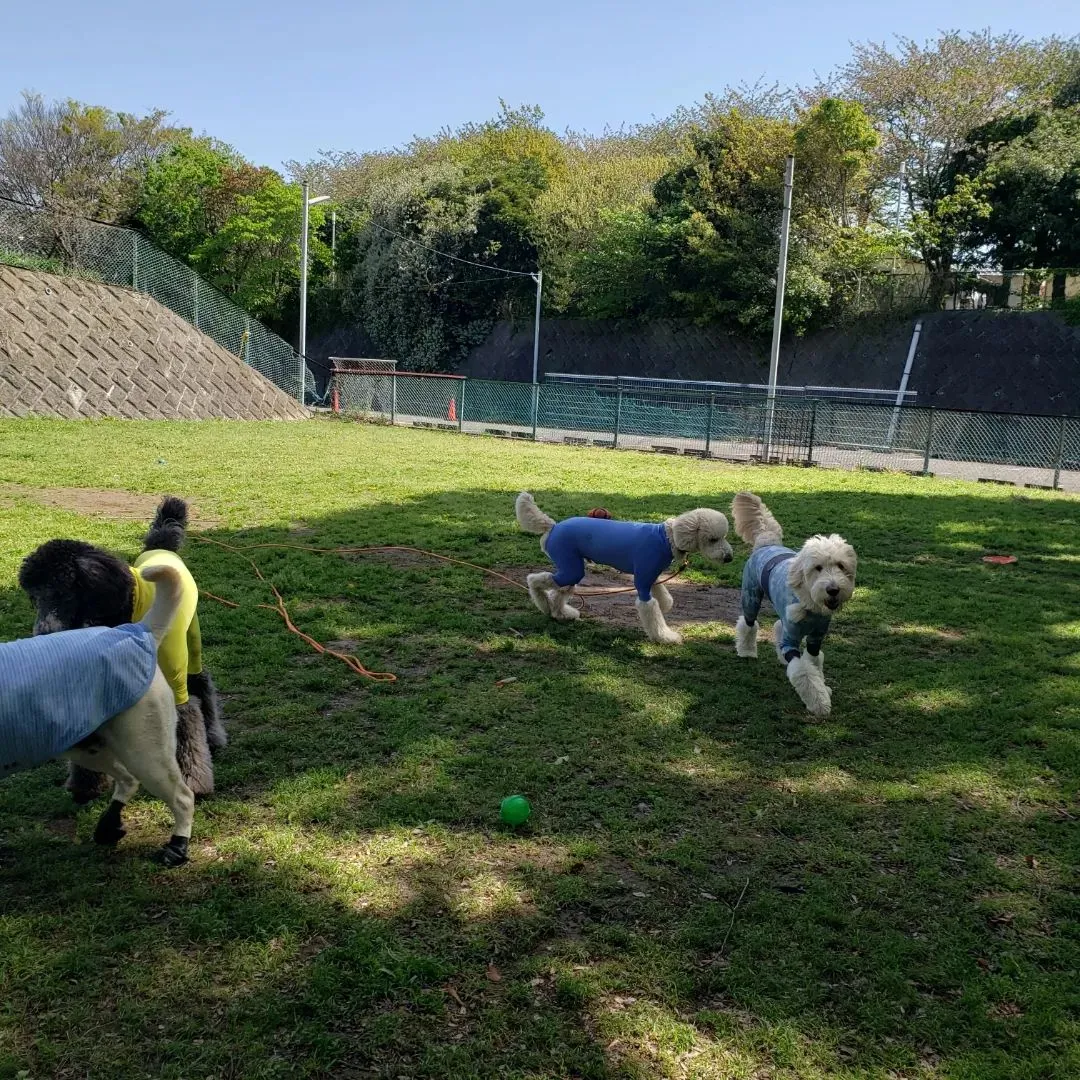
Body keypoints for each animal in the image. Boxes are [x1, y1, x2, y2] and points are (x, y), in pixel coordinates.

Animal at [514, 494, 734, 643]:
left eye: (723, 536)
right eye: (712, 539)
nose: (729, 558)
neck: (666, 538)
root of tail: (552, 525)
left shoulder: (651, 575)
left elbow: (662, 594)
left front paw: (665, 605)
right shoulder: (642, 581)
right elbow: (651, 610)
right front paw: (665, 637)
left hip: (572, 567)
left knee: (560, 590)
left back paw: (561, 614)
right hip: (570, 566)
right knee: (534, 580)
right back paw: (544, 605)